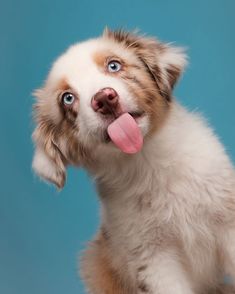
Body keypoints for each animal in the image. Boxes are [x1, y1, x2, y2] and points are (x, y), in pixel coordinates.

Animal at [31, 28, 235, 294]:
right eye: (67, 98)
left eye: (114, 65)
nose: (104, 99)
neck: (149, 160)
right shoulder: (152, 257)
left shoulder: (227, 221)